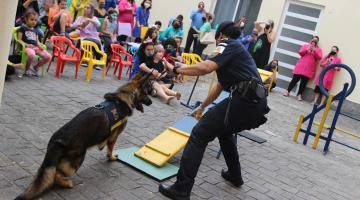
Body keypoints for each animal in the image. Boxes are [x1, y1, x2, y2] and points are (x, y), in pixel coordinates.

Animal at [15, 74, 153, 200]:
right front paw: (111, 157)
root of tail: (57, 140)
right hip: (78, 160)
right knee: (55, 175)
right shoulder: (114, 137)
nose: (151, 102)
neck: (124, 97)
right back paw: (67, 183)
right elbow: (110, 149)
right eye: (146, 93)